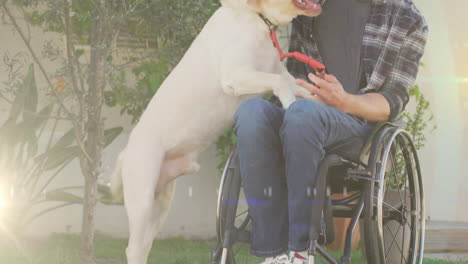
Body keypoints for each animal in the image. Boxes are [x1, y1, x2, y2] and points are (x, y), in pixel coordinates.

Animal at [111, 1, 322, 262]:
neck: (257, 17)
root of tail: (126, 151)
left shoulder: (283, 75)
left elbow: (309, 91)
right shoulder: (237, 75)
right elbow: (280, 84)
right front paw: (291, 105)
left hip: (160, 206)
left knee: (144, 245)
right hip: (142, 201)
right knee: (133, 248)